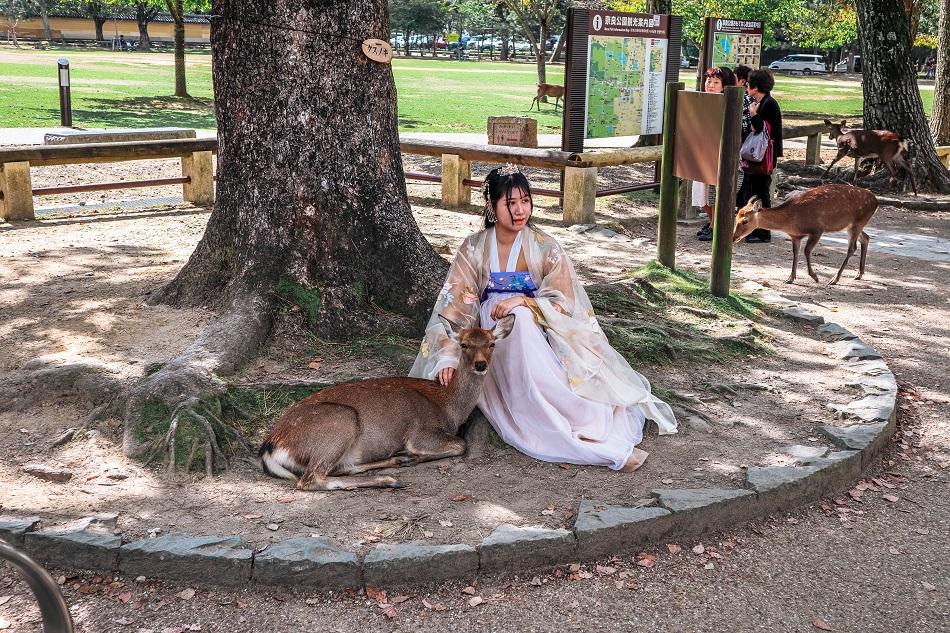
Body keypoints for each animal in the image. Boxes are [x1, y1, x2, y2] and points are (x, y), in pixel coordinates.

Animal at [256, 314, 516, 488]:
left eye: (492, 343)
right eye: (464, 344)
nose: (480, 365)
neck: (448, 407)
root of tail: (271, 446)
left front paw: (407, 457)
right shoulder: (421, 432)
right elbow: (460, 445)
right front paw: (414, 455)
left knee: (342, 468)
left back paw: (395, 461)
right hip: (341, 422)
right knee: (310, 479)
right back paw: (389, 479)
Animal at [736, 184, 884, 286]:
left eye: (745, 221)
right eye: (736, 215)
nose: (734, 237)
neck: (791, 220)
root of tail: (876, 202)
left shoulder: (817, 230)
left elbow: (807, 251)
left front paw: (815, 276)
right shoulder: (795, 236)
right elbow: (795, 253)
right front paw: (790, 278)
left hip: (858, 222)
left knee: (852, 248)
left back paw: (834, 279)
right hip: (852, 225)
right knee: (866, 238)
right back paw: (859, 274)